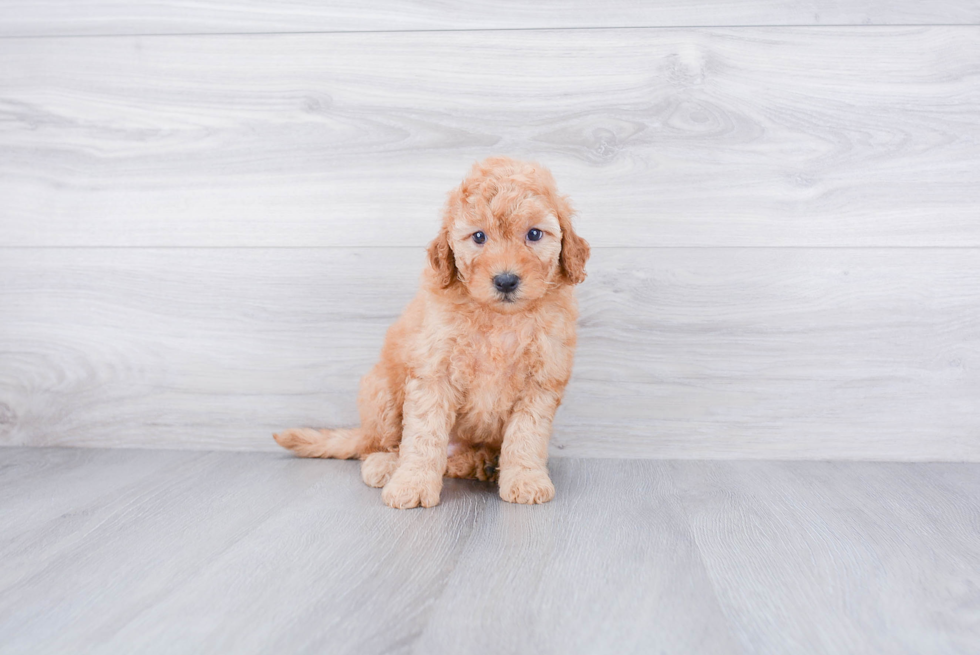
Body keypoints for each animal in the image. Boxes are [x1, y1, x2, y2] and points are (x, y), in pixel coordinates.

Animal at [274, 156, 588, 510]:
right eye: (479, 237)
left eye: (534, 234)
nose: (506, 280)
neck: (500, 318)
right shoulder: (434, 371)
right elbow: (423, 436)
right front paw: (411, 484)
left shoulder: (541, 379)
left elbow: (526, 435)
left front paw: (525, 478)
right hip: (381, 392)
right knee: (375, 447)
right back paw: (386, 465)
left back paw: (482, 463)